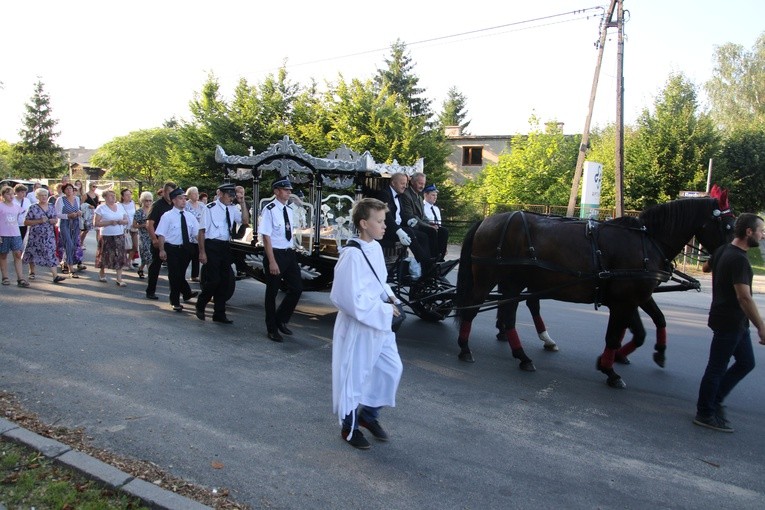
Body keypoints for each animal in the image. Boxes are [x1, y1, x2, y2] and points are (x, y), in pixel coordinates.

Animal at [454, 197, 736, 388]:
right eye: (728, 225)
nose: (730, 256)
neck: (646, 242)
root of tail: (486, 220)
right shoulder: (625, 301)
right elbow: (615, 335)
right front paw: (610, 370)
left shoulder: (632, 299)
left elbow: (644, 328)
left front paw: (632, 356)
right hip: (489, 279)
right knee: (472, 308)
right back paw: (465, 348)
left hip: (514, 283)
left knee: (509, 314)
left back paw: (522, 354)